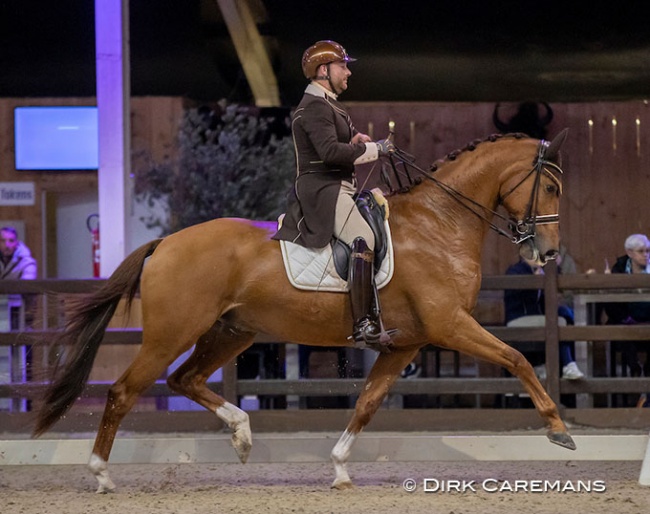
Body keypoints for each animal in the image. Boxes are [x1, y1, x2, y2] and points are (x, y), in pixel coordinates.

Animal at [34, 127, 572, 488]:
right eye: (549, 188)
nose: (547, 253)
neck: (439, 223)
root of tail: (164, 243)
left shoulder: (407, 343)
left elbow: (368, 403)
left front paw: (338, 467)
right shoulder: (451, 326)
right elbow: (518, 359)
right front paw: (559, 430)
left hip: (232, 331)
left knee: (184, 380)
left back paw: (242, 435)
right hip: (173, 333)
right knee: (124, 391)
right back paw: (102, 475)